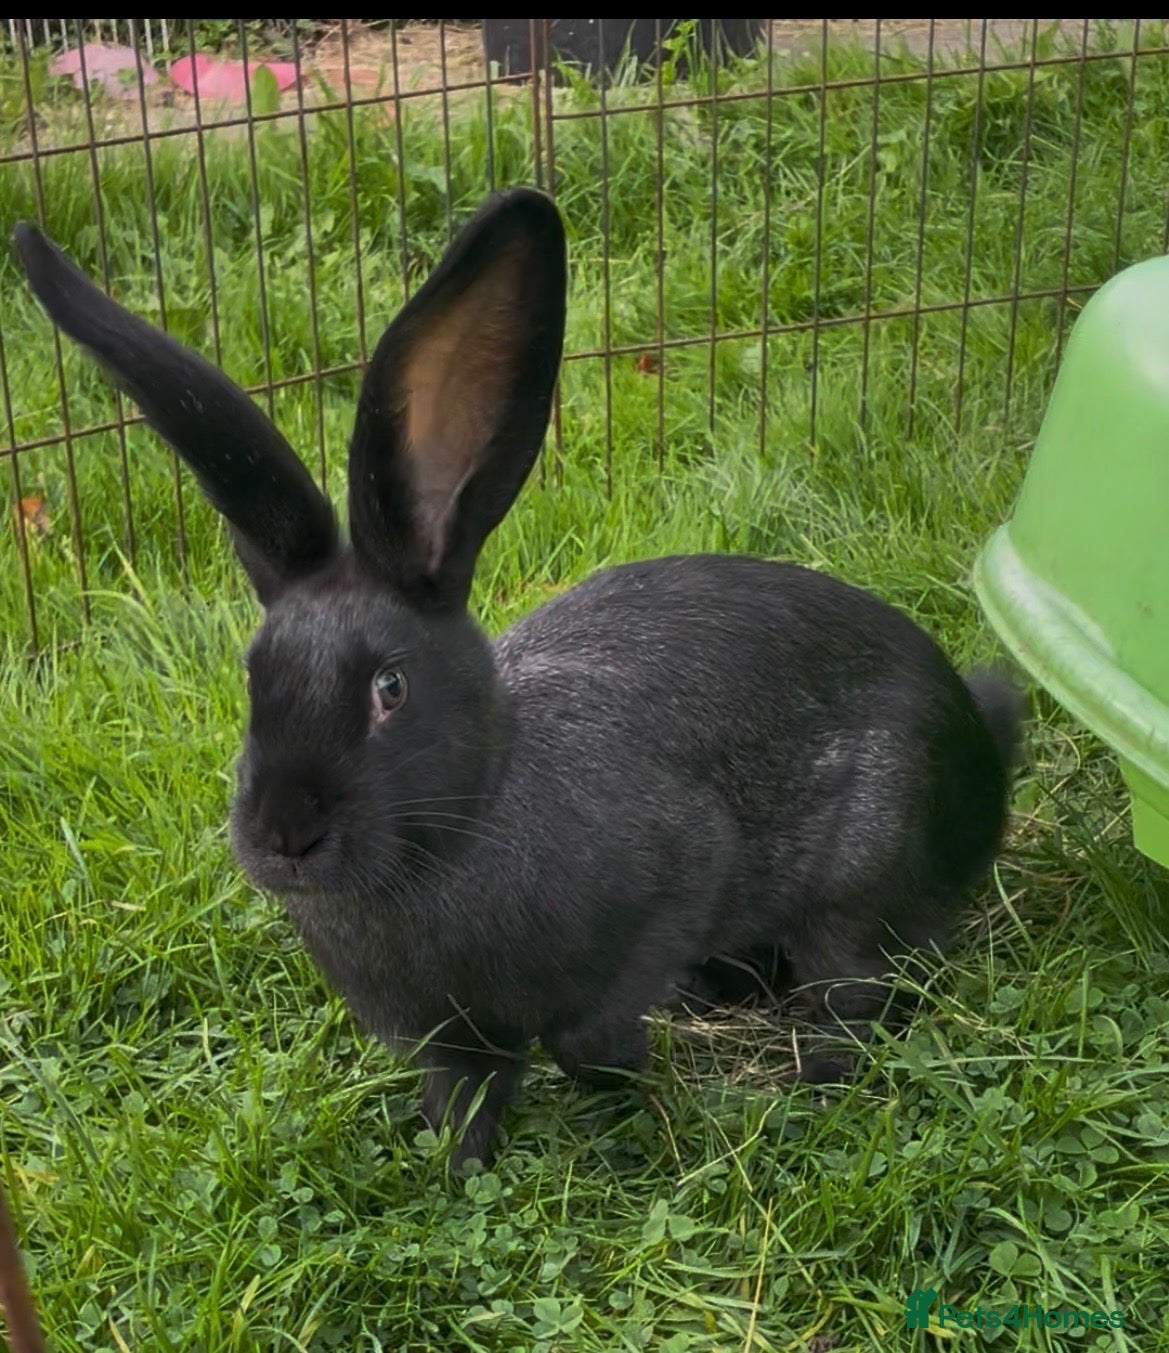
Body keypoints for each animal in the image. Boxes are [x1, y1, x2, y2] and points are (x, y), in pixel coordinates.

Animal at [14, 188, 1020, 1168]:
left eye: (389, 688)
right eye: (254, 676)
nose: (282, 837)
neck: (460, 828)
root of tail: (981, 749)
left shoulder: (674, 886)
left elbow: (588, 1040)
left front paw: (623, 1109)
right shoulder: (451, 1038)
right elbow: (463, 1096)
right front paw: (454, 1169)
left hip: (861, 878)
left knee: (861, 987)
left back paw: (816, 1073)